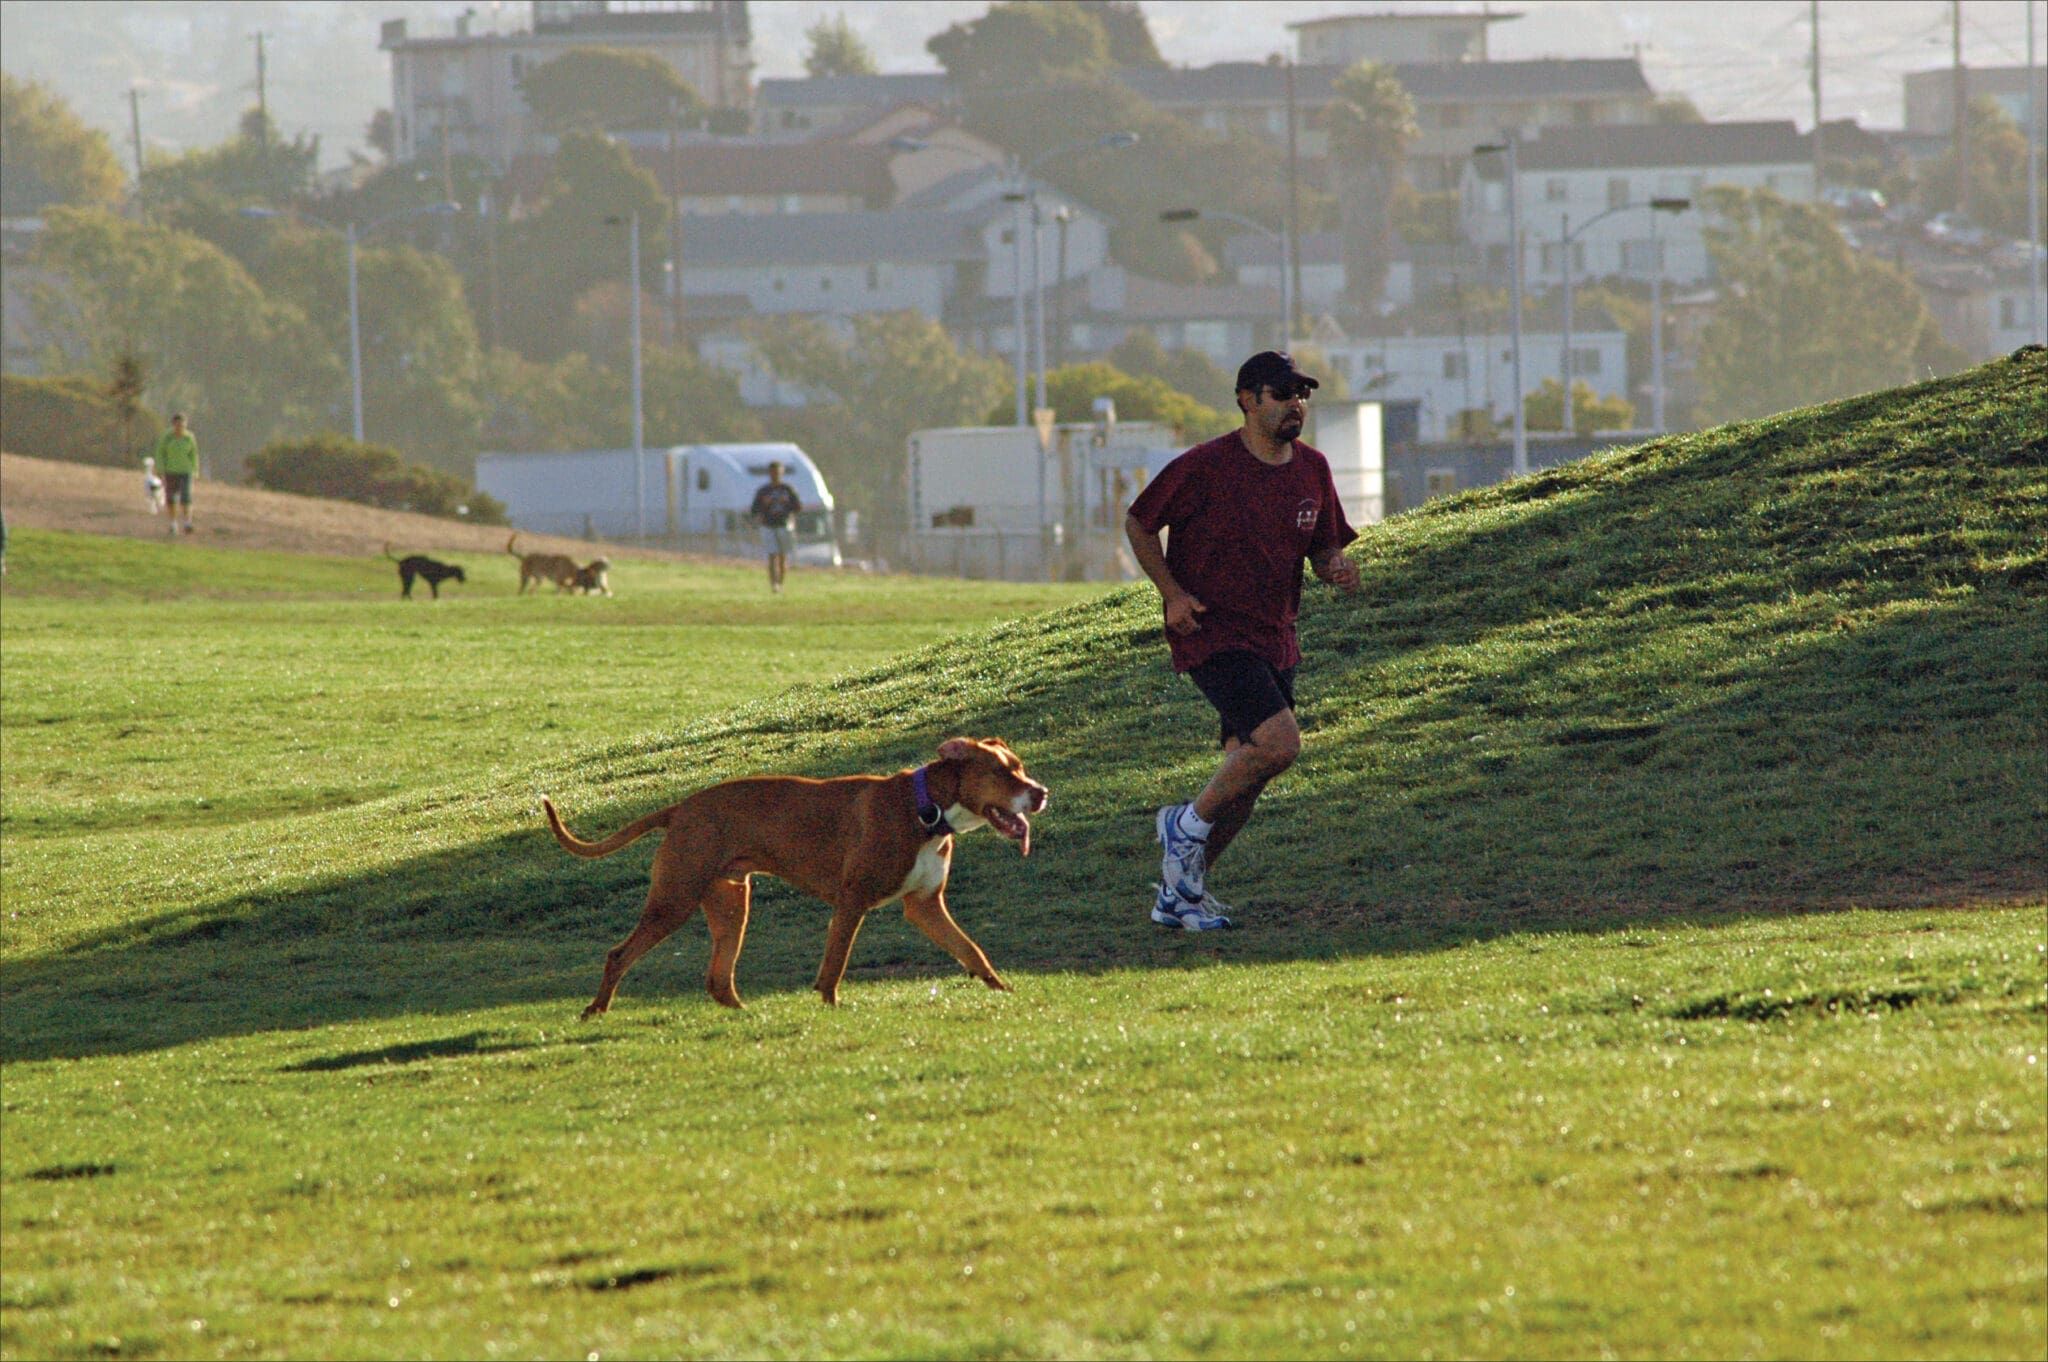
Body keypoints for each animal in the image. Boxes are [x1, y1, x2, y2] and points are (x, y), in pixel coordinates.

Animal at [544, 733, 1048, 1007]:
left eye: (1021, 767)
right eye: (1003, 773)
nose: (1041, 793)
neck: (926, 810)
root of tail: (680, 808)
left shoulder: (925, 907)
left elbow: (973, 953)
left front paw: (1005, 993)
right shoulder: (852, 901)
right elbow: (833, 967)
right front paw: (830, 1010)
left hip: (731, 904)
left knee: (718, 980)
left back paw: (747, 1016)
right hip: (674, 900)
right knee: (619, 955)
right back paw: (596, 1010)